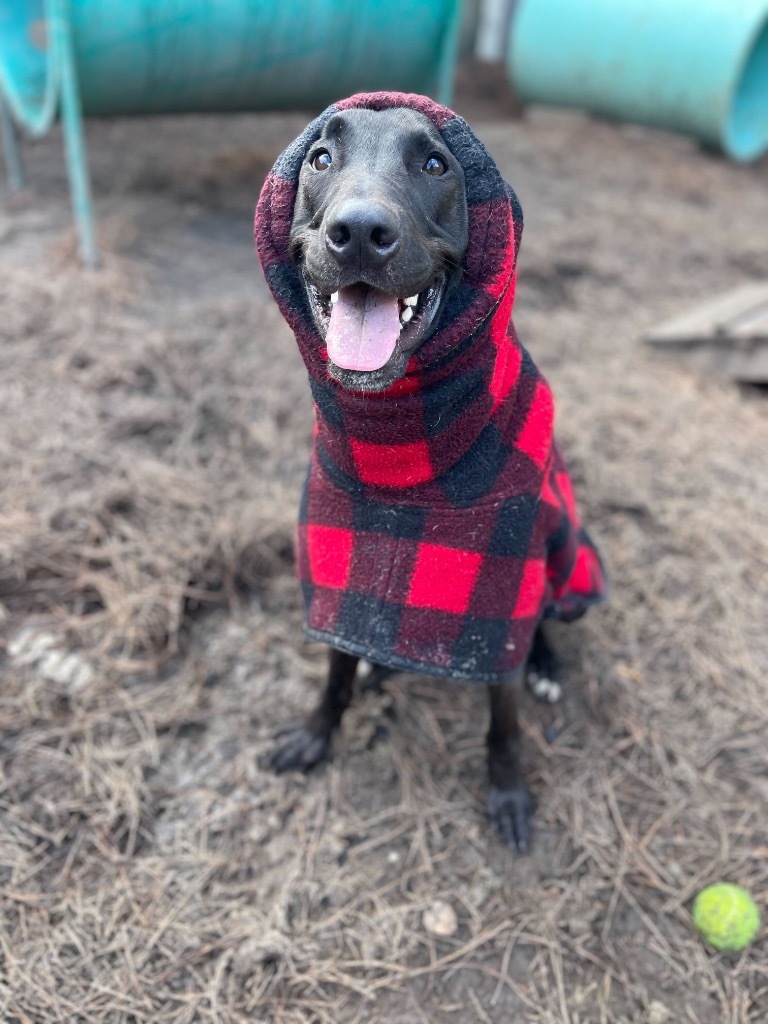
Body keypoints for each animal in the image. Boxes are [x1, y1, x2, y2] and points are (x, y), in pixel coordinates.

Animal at [256, 94, 606, 847]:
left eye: (436, 164)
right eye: (320, 158)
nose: (359, 232)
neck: (401, 460)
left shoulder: (497, 595)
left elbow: (504, 720)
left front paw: (508, 794)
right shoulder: (339, 567)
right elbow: (334, 669)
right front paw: (316, 733)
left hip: (564, 549)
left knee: (547, 619)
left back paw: (545, 664)